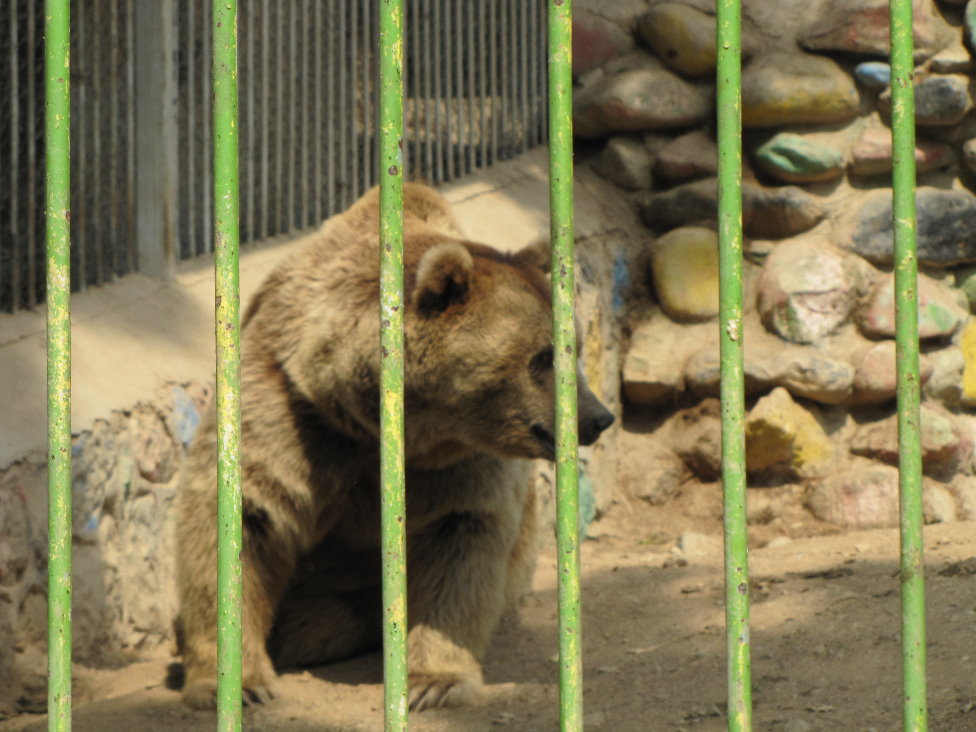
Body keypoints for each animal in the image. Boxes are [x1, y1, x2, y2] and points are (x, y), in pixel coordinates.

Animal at [174, 182, 614, 711]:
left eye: (577, 346)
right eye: (543, 357)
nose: (597, 417)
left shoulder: (458, 464)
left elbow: (462, 541)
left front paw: (433, 681)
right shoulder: (292, 411)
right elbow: (245, 519)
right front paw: (238, 686)